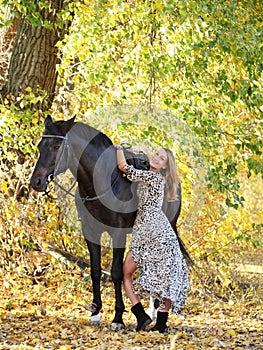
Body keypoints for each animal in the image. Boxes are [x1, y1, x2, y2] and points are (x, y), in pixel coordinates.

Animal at [30, 115, 192, 330]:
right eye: (40, 145)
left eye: (57, 146)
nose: (36, 182)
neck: (102, 182)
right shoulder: (91, 231)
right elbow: (95, 270)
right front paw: (95, 313)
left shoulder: (118, 233)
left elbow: (116, 273)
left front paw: (118, 318)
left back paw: (154, 312)